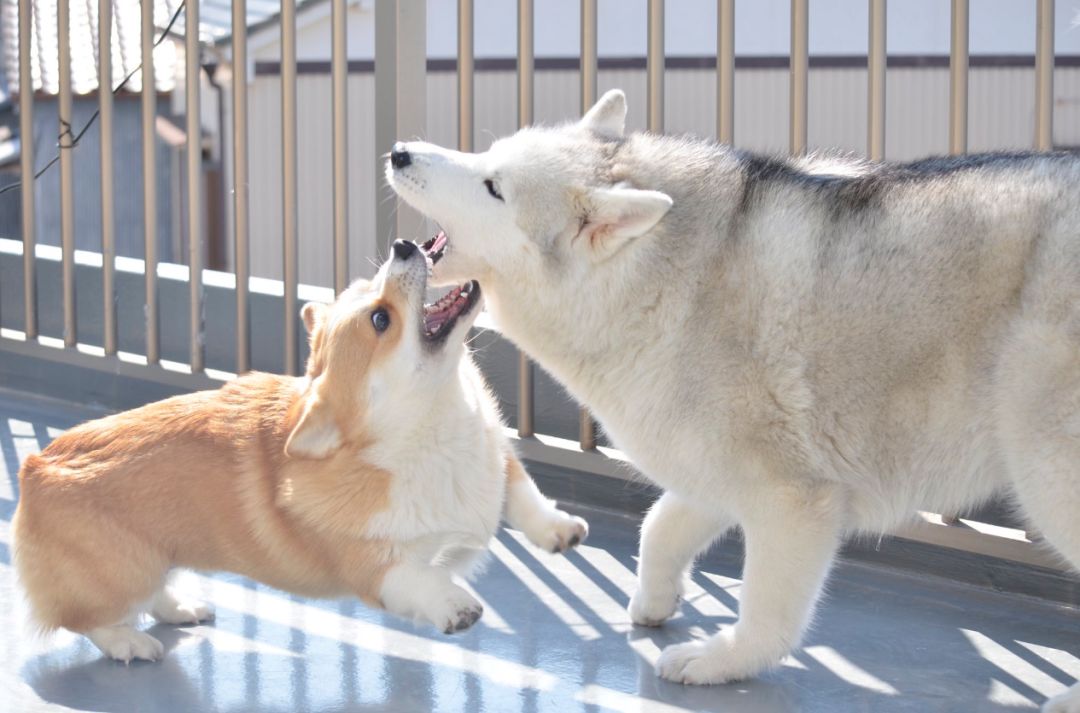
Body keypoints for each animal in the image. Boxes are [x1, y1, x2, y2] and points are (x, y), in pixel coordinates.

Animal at [12, 239, 587, 661]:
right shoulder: (375, 569)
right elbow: (422, 576)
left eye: (367, 286)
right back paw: (130, 642)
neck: (431, 429)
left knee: (152, 592)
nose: (403, 244)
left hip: (156, 557)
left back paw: (180, 607)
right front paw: (455, 603)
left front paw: (558, 530)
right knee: (84, 617)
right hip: (123, 569)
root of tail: (35, 466)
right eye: (380, 319)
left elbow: (522, 492)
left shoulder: (497, 460)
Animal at [393, 90, 1080, 713]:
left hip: (1048, 476)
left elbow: (765, 611)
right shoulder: (710, 469)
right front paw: (655, 600)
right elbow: (659, 527)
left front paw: (723, 662)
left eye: (493, 188)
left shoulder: (793, 501)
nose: (399, 152)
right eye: (486, 157)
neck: (668, 283)